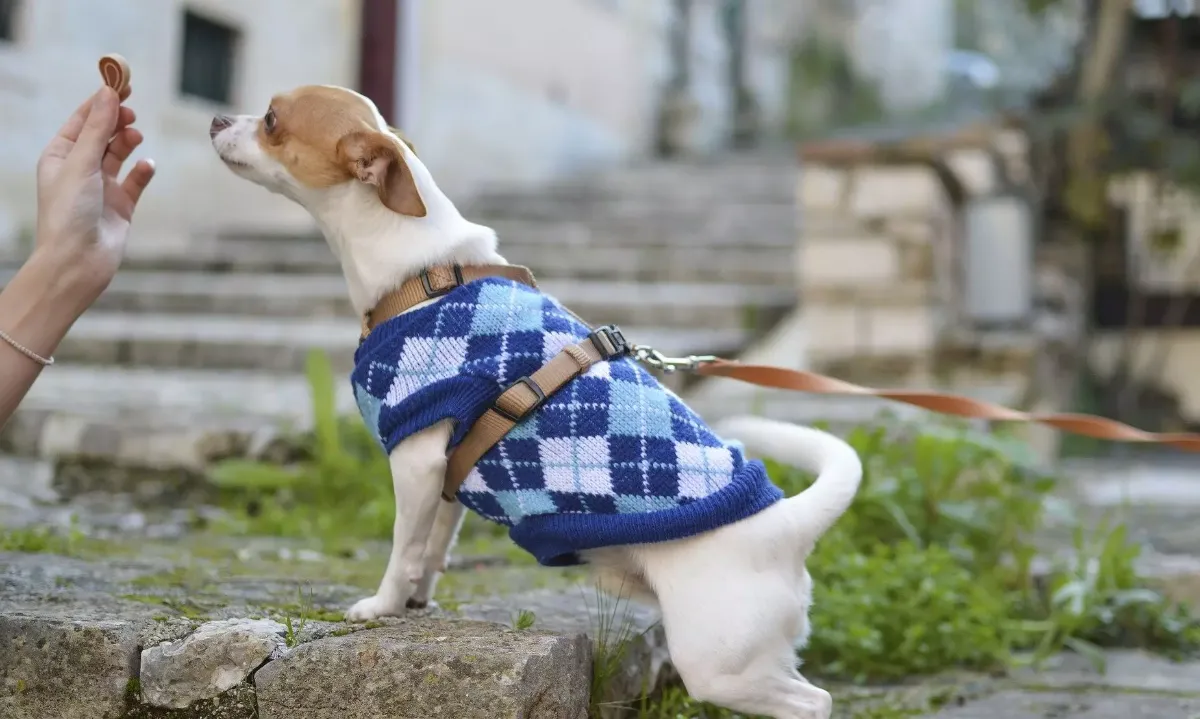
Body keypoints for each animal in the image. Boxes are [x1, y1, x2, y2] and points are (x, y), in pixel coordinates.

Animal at [208, 85, 864, 719]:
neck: (424, 272)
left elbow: (402, 547)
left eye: (272, 119)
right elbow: (433, 545)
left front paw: (383, 605)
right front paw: (418, 600)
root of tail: (788, 523)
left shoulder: (414, 460)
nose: (215, 119)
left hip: (718, 663)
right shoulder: (446, 474)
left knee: (815, 701)